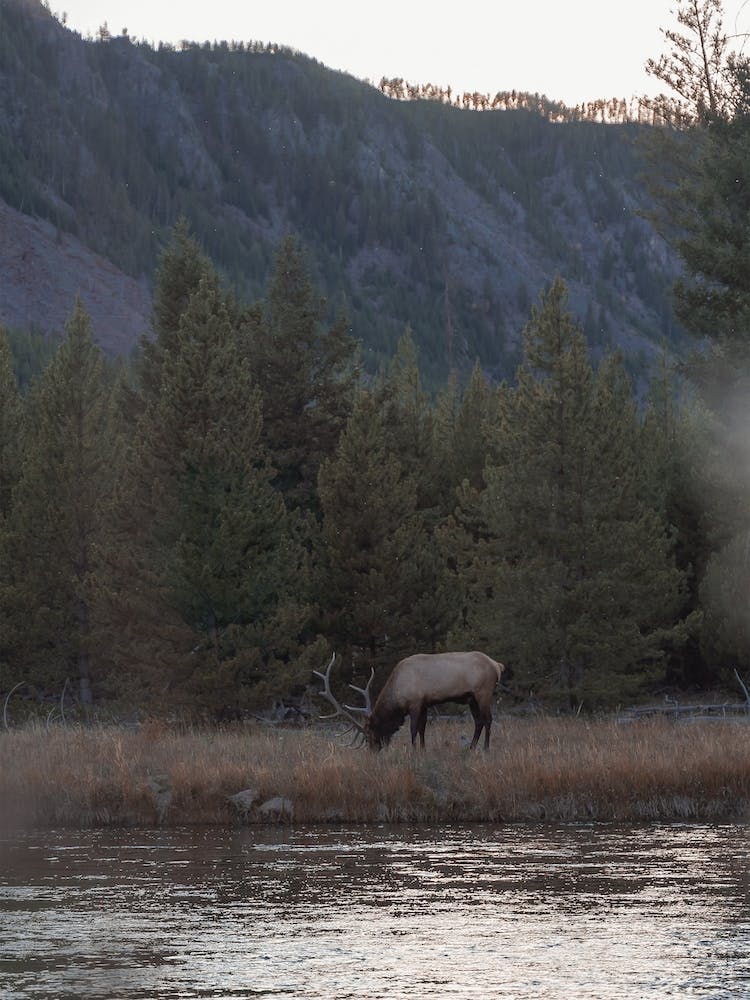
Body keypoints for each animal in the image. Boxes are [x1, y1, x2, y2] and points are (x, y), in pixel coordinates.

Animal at [314, 651, 504, 750]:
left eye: (369, 734)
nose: (373, 751)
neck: (398, 693)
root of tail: (497, 665)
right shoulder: (425, 703)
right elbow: (422, 728)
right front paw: (422, 750)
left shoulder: (415, 702)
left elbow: (413, 729)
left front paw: (413, 752)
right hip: (472, 699)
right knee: (479, 721)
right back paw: (471, 748)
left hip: (483, 693)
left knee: (488, 720)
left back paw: (486, 749)